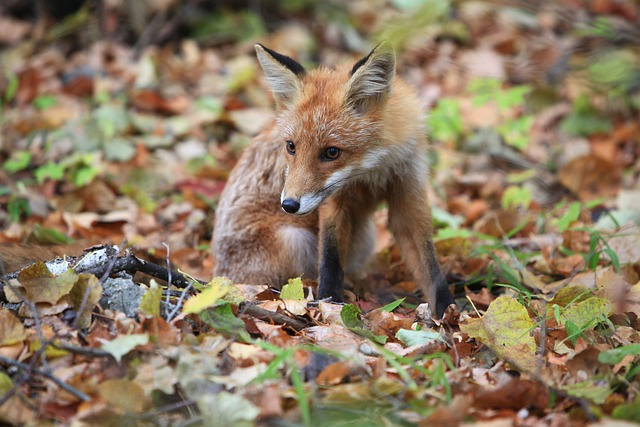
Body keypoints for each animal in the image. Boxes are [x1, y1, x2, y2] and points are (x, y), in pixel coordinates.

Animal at [212, 42, 452, 318]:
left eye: (332, 152)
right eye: (291, 146)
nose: (289, 205)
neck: (371, 171)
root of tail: (217, 276)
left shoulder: (408, 188)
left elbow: (429, 266)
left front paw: (448, 310)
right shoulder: (332, 201)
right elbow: (330, 258)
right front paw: (330, 306)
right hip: (294, 240)